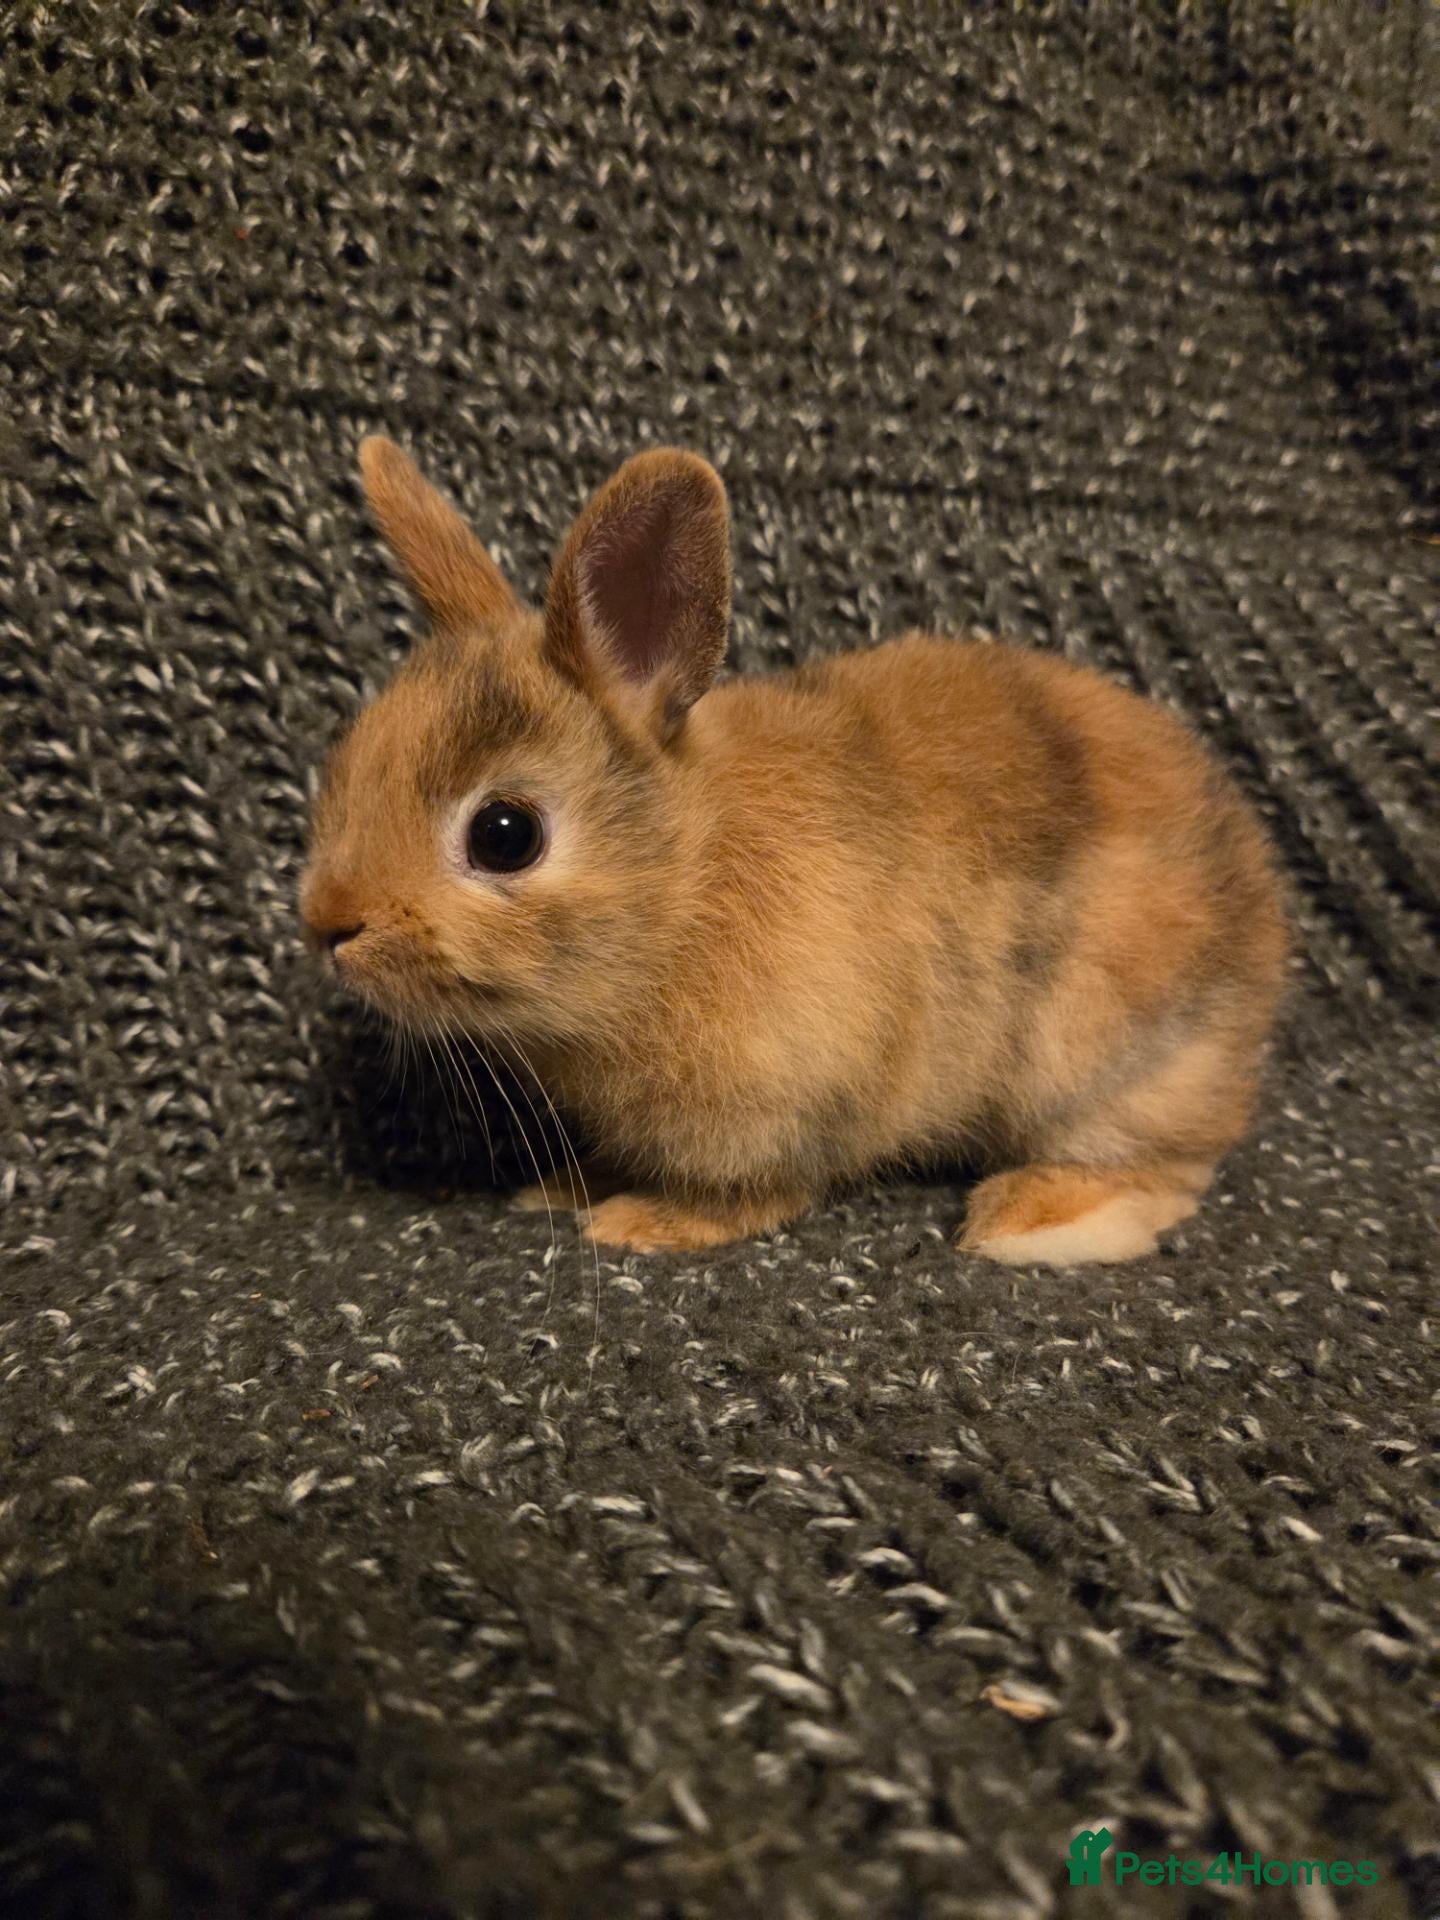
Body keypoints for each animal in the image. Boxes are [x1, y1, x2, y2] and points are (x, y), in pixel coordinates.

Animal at [300, 438, 1288, 1265]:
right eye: (343, 764)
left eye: (505, 835)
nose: (328, 927)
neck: (684, 885)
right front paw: (565, 1188)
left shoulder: (788, 1103)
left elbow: (752, 1192)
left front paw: (643, 1222)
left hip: (1113, 1064)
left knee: (1159, 1165)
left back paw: (1028, 1224)